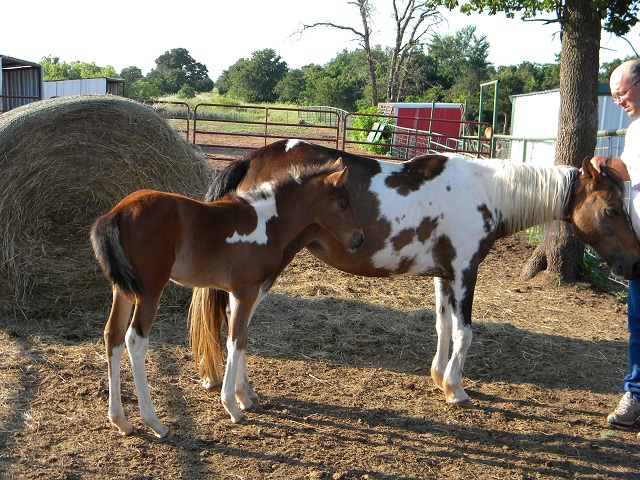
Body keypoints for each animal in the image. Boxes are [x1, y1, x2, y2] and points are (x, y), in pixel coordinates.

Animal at [92, 158, 368, 436]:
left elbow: (240, 335)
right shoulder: (246, 290)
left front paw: (243, 396)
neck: (268, 222)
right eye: (342, 204)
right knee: (135, 340)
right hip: (150, 289)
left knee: (113, 335)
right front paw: (233, 407)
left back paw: (120, 420)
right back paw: (154, 422)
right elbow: (236, 340)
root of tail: (117, 213)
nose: (359, 239)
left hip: (123, 289)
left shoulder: (237, 292)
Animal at [190, 138, 640, 416]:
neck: (486, 192)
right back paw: (241, 397)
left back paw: (245, 394)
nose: (634, 263)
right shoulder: (465, 270)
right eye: (612, 209)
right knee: (237, 327)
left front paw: (439, 377)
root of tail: (251, 159)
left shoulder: (445, 274)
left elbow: (444, 327)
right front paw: (456, 389)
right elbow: (466, 332)